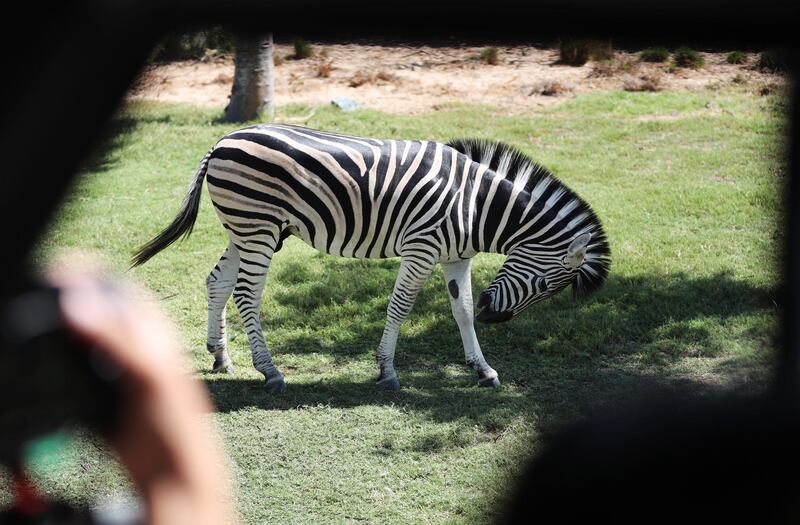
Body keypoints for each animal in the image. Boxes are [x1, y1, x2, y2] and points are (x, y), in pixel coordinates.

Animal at [131, 125, 608, 390]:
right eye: (545, 285)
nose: (495, 317)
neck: (476, 206)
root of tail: (222, 141)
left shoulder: (456, 257)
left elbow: (462, 310)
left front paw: (483, 370)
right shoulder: (421, 248)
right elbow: (400, 307)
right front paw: (387, 372)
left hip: (246, 229)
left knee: (218, 281)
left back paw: (220, 356)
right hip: (259, 227)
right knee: (247, 293)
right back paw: (270, 371)